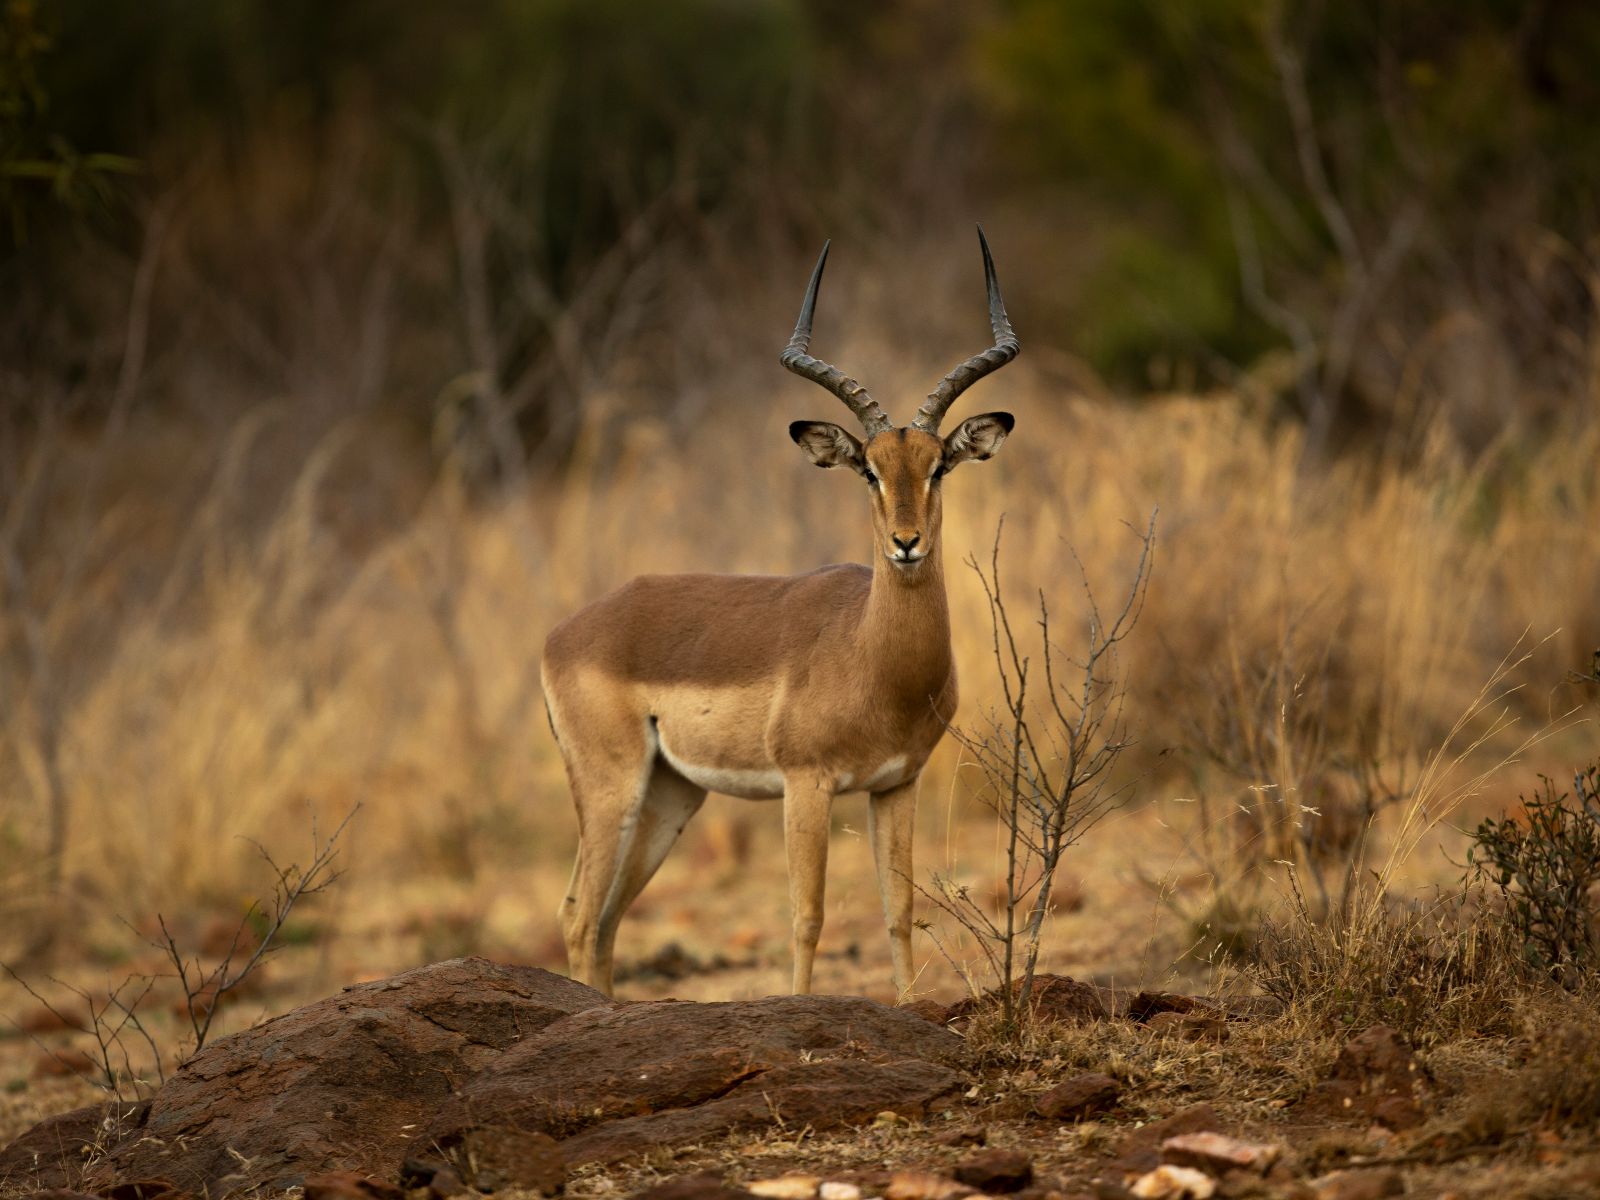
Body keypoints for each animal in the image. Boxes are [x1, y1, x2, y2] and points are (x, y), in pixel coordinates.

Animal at [543, 228, 1019, 998]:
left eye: (938, 466)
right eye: (869, 470)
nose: (906, 543)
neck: (871, 656)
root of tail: (566, 633)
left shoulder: (897, 784)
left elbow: (900, 910)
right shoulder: (806, 784)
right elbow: (808, 916)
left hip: (671, 795)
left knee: (608, 919)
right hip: (612, 786)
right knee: (580, 915)